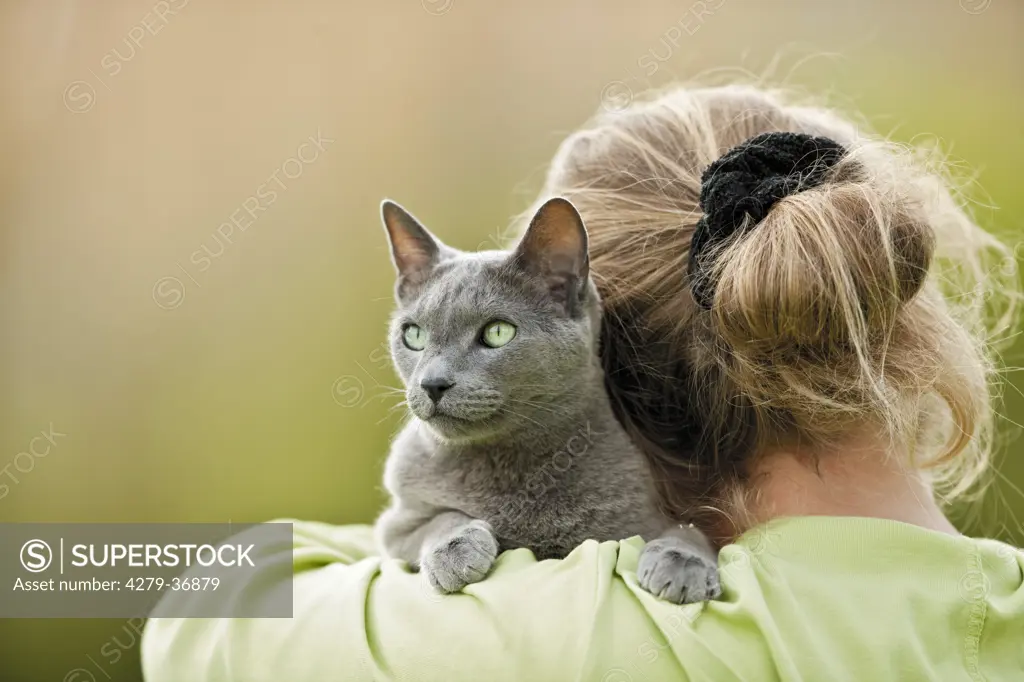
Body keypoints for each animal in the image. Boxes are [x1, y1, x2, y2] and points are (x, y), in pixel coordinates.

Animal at [372, 195, 716, 602]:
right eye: (413, 335)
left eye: (497, 332)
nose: (433, 383)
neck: (511, 466)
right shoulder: (394, 525)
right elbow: (438, 519)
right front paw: (455, 551)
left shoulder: (645, 517)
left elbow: (687, 531)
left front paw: (682, 564)